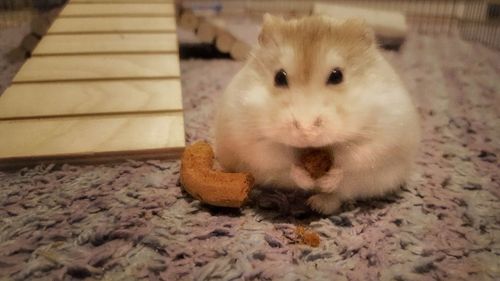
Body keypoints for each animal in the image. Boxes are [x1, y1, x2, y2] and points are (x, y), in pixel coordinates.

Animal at [213, 14, 420, 213]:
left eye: (337, 76)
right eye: (279, 77)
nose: (307, 131)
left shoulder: (377, 140)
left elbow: (349, 162)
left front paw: (327, 181)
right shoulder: (253, 140)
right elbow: (283, 160)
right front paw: (306, 179)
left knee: (337, 197)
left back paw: (317, 204)